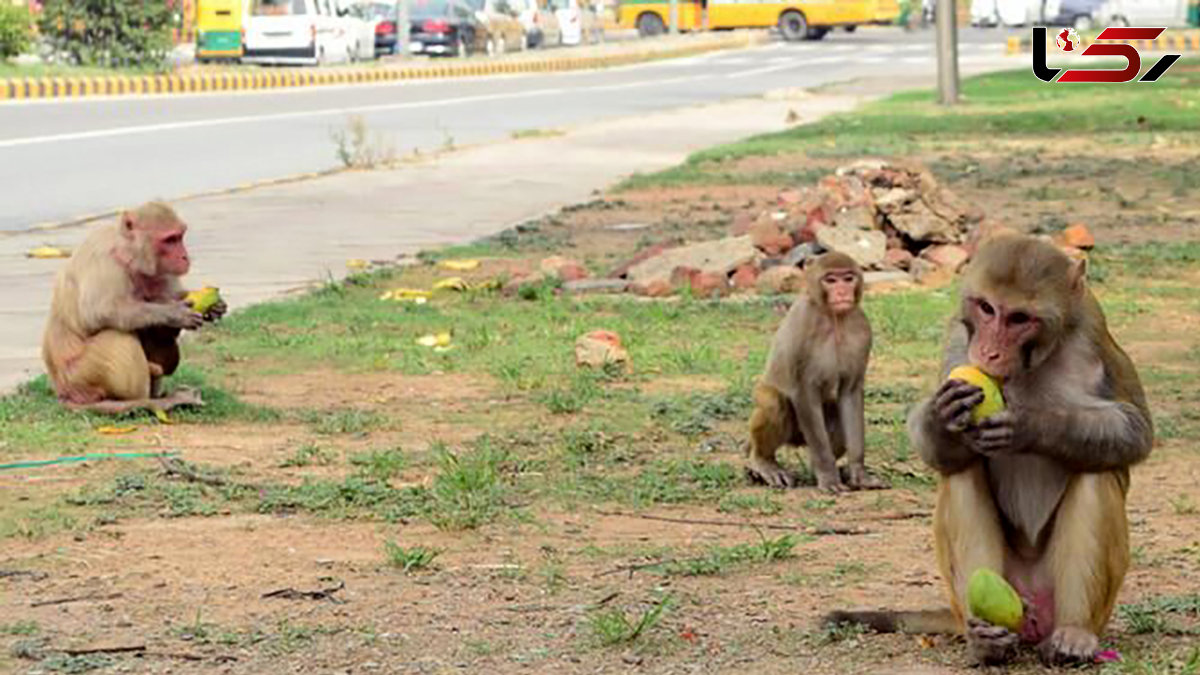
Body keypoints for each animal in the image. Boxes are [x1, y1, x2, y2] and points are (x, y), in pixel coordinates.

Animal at [41, 200, 225, 410]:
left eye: (180, 237)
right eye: (170, 240)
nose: (184, 257)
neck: (129, 254)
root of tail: (63, 392)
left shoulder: (159, 272)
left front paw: (214, 307)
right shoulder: (103, 258)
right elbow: (99, 312)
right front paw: (174, 313)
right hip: (79, 376)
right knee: (117, 336)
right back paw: (142, 401)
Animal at [744, 249, 888, 492]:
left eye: (848, 278)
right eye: (831, 280)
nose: (842, 291)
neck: (834, 318)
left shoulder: (862, 329)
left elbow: (850, 394)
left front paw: (858, 472)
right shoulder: (804, 325)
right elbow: (804, 391)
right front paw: (829, 477)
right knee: (773, 400)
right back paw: (764, 463)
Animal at [825, 230, 1152, 662]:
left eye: (1019, 319)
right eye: (986, 308)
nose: (988, 352)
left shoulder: (1093, 329)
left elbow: (1135, 429)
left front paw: (1031, 425)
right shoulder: (958, 336)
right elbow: (940, 454)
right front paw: (942, 419)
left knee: (1096, 472)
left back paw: (1074, 632)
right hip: (977, 596)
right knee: (961, 472)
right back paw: (986, 640)